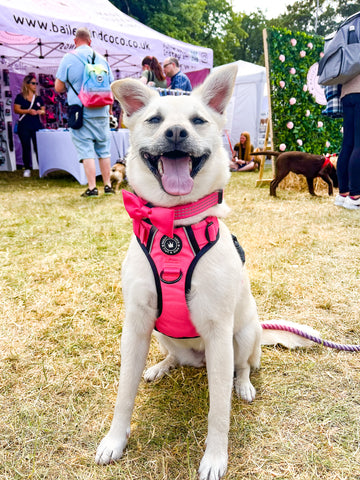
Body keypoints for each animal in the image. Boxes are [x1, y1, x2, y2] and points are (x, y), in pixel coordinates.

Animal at [95, 65, 318, 478]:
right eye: (154, 119)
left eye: (198, 120)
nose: (176, 133)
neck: (174, 226)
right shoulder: (136, 325)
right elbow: (123, 394)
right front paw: (115, 440)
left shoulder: (218, 334)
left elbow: (219, 411)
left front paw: (215, 458)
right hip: (163, 334)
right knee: (174, 356)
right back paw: (160, 367)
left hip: (243, 335)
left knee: (243, 367)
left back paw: (243, 386)